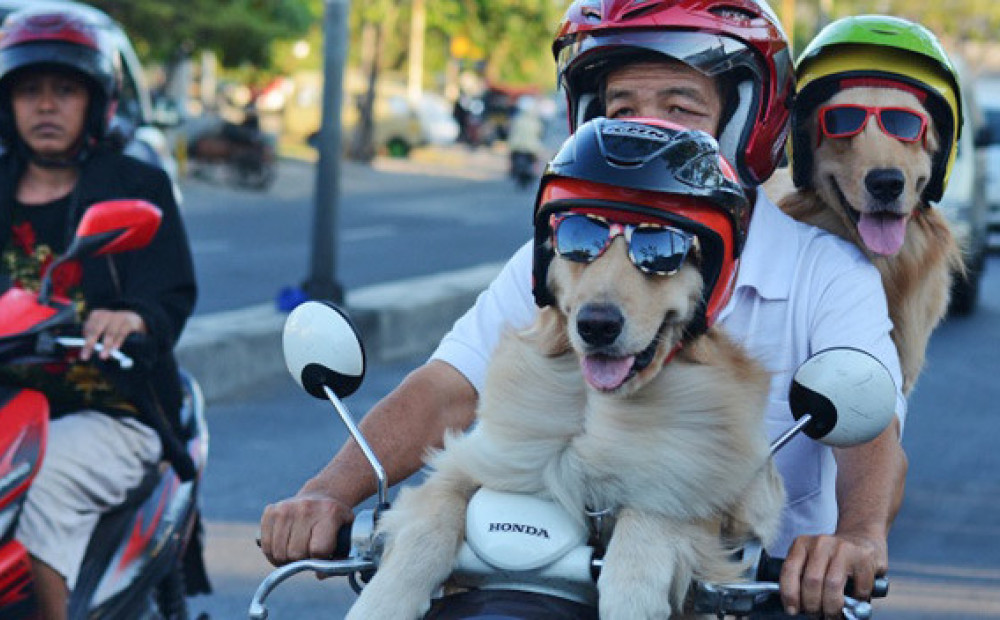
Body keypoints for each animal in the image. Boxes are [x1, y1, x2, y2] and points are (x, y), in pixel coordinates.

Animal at [348, 120, 784, 616]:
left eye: (659, 248)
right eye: (579, 240)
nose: (597, 325)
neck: (596, 412)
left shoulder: (726, 510)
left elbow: (655, 516)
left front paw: (631, 594)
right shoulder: (479, 461)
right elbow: (431, 515)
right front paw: (384, 598)